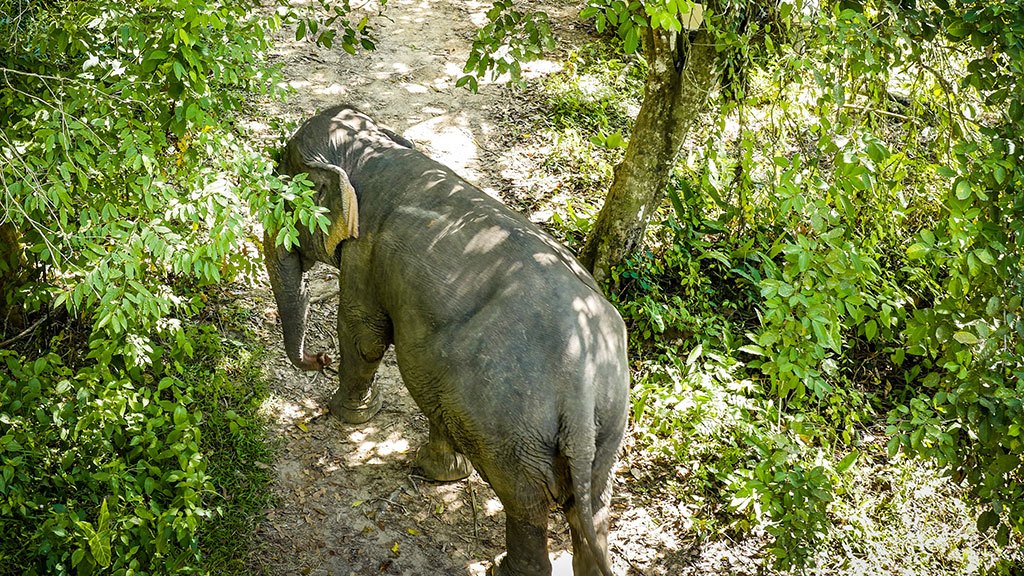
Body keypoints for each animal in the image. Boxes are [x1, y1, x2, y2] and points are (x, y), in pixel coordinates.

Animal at [264, 105, 629, 576]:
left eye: (281, 201)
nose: (318, 358)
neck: (371, 151)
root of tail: (580, 386)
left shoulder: (364, 252)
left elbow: (364, 331)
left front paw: (346, 414)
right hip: (606, 428)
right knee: (592, 507)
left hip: (511, 428)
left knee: (524, 504)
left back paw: (499, 568)